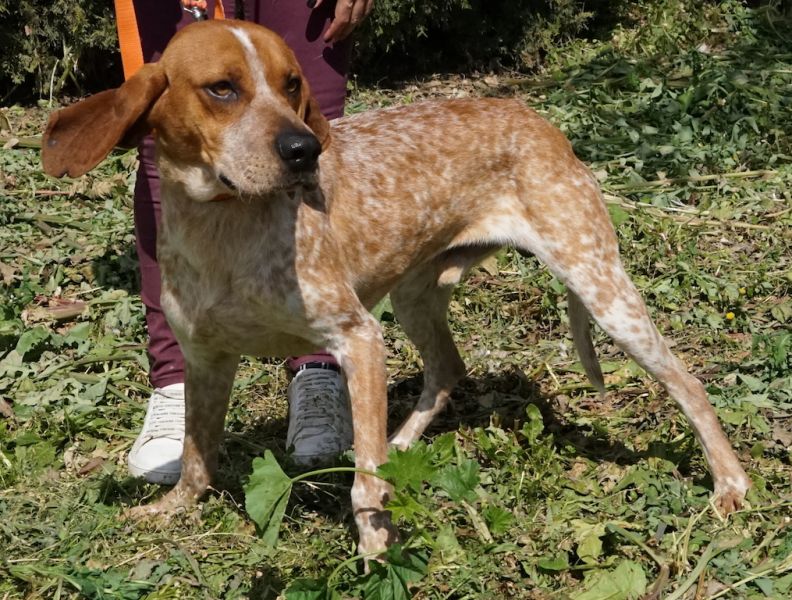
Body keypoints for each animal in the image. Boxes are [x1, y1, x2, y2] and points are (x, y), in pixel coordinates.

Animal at [41, 20, 750, 556]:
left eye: (292, 84)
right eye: (222, 89)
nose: (304, 151)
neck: (226, 225)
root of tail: (536, 117)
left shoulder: (356, 337)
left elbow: (359, 485)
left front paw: (376, 550)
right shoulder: (205, 359)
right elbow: (196, 453)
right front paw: (173, 508)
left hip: (601, 291)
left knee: (689, 384)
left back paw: (730, 485)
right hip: (413, 299)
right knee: (445, 371)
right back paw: (400, 443)